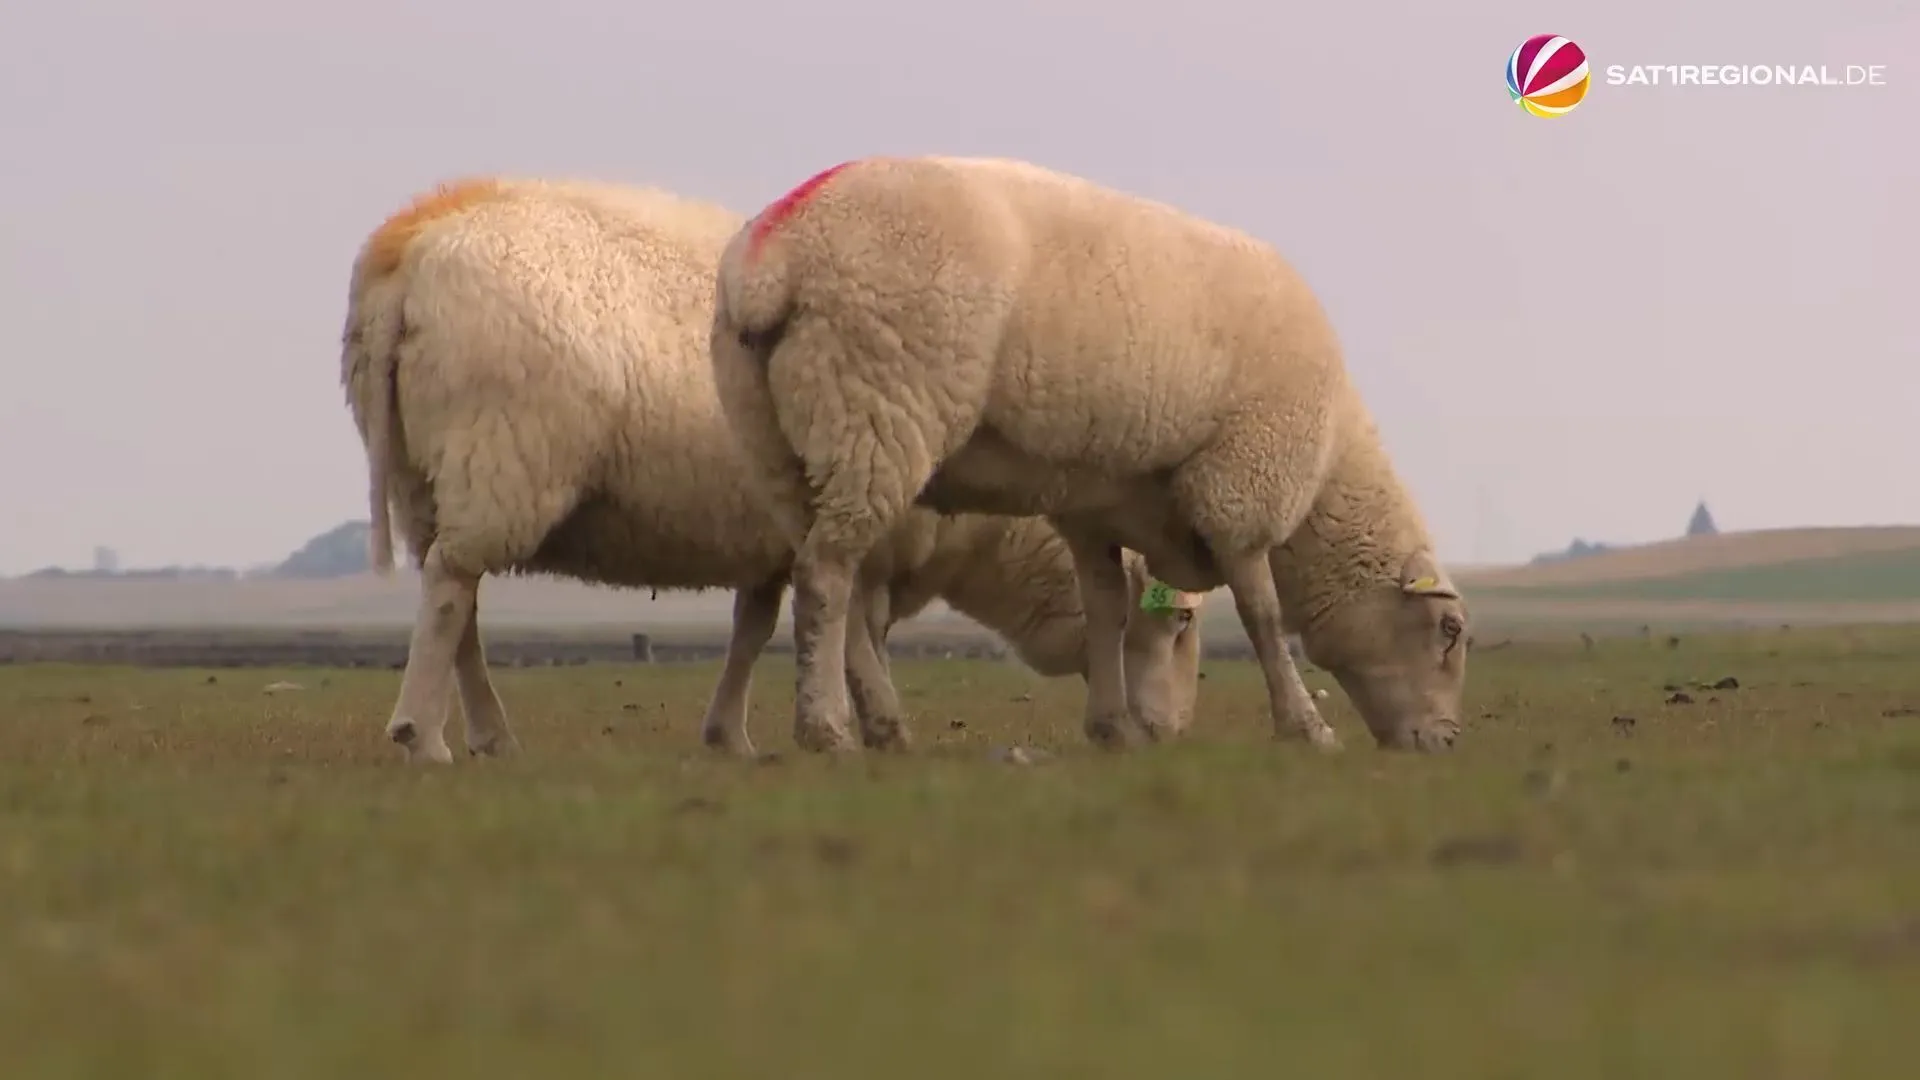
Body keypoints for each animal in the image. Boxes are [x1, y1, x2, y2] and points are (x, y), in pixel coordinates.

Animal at [332, 171, 1198, 760]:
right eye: (1181, 621)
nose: (1171, 730)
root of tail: (409, 247)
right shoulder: (865, 519)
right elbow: (853, 624)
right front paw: (874, 721)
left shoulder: (773, 542)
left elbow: (756, 628)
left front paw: (732, 733)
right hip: (504, 455)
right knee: (452, 589)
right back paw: (424, 737)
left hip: (427, 480)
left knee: (458, 601)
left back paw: (488, 733)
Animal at [706, 155, 1466, 753]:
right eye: (1449, 630)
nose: (1447, 743)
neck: (1331, 463)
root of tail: (776, 251)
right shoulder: (1241, 487)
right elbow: (1263, 615)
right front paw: (1306, 726)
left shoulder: (1096, 506)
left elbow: (1107, 611)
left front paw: (1111, 728)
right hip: (873, 408)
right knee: (828, 578)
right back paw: (825, 728)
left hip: (777, 446)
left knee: (833, 580)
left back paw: (875, 723)